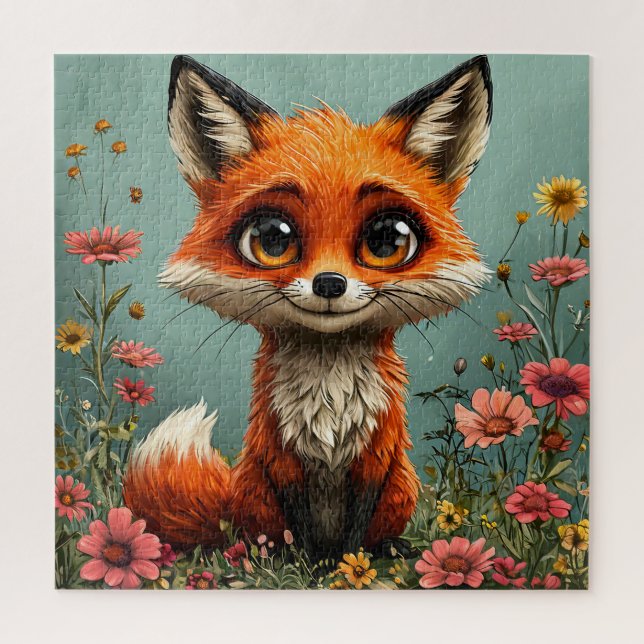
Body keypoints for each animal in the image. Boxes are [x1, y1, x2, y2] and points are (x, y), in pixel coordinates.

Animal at [123, 54, 492, 560]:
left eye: (387, 239)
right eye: (273, 239)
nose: (330, 283)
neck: (330, 389)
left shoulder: (375, 457)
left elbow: (356, 528)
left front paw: (348, 563)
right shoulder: (281, 457)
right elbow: (297, 526)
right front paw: (306, 565)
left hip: (402, 486)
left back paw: (391, 548)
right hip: (254, 492)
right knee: (255, 533)